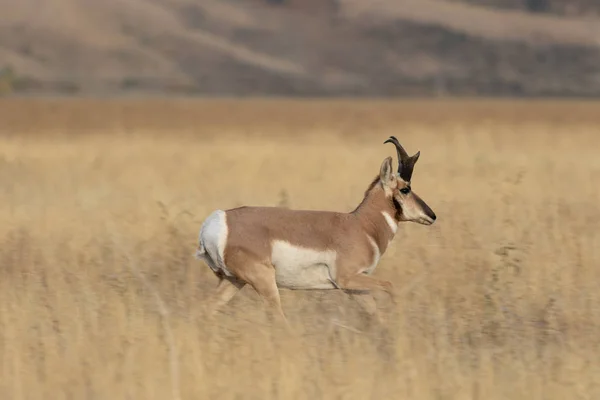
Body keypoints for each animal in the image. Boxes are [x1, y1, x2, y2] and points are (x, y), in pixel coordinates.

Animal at [197, 136, 436, 326]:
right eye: (405, 189)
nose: (432, 215)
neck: (360, 225)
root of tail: (217, 221)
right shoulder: (347, 279)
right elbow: (390, 285)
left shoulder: (355, 288)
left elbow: (377, 315)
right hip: (264, 282)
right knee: (279, 320)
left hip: (233, 281)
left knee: (206, 310)